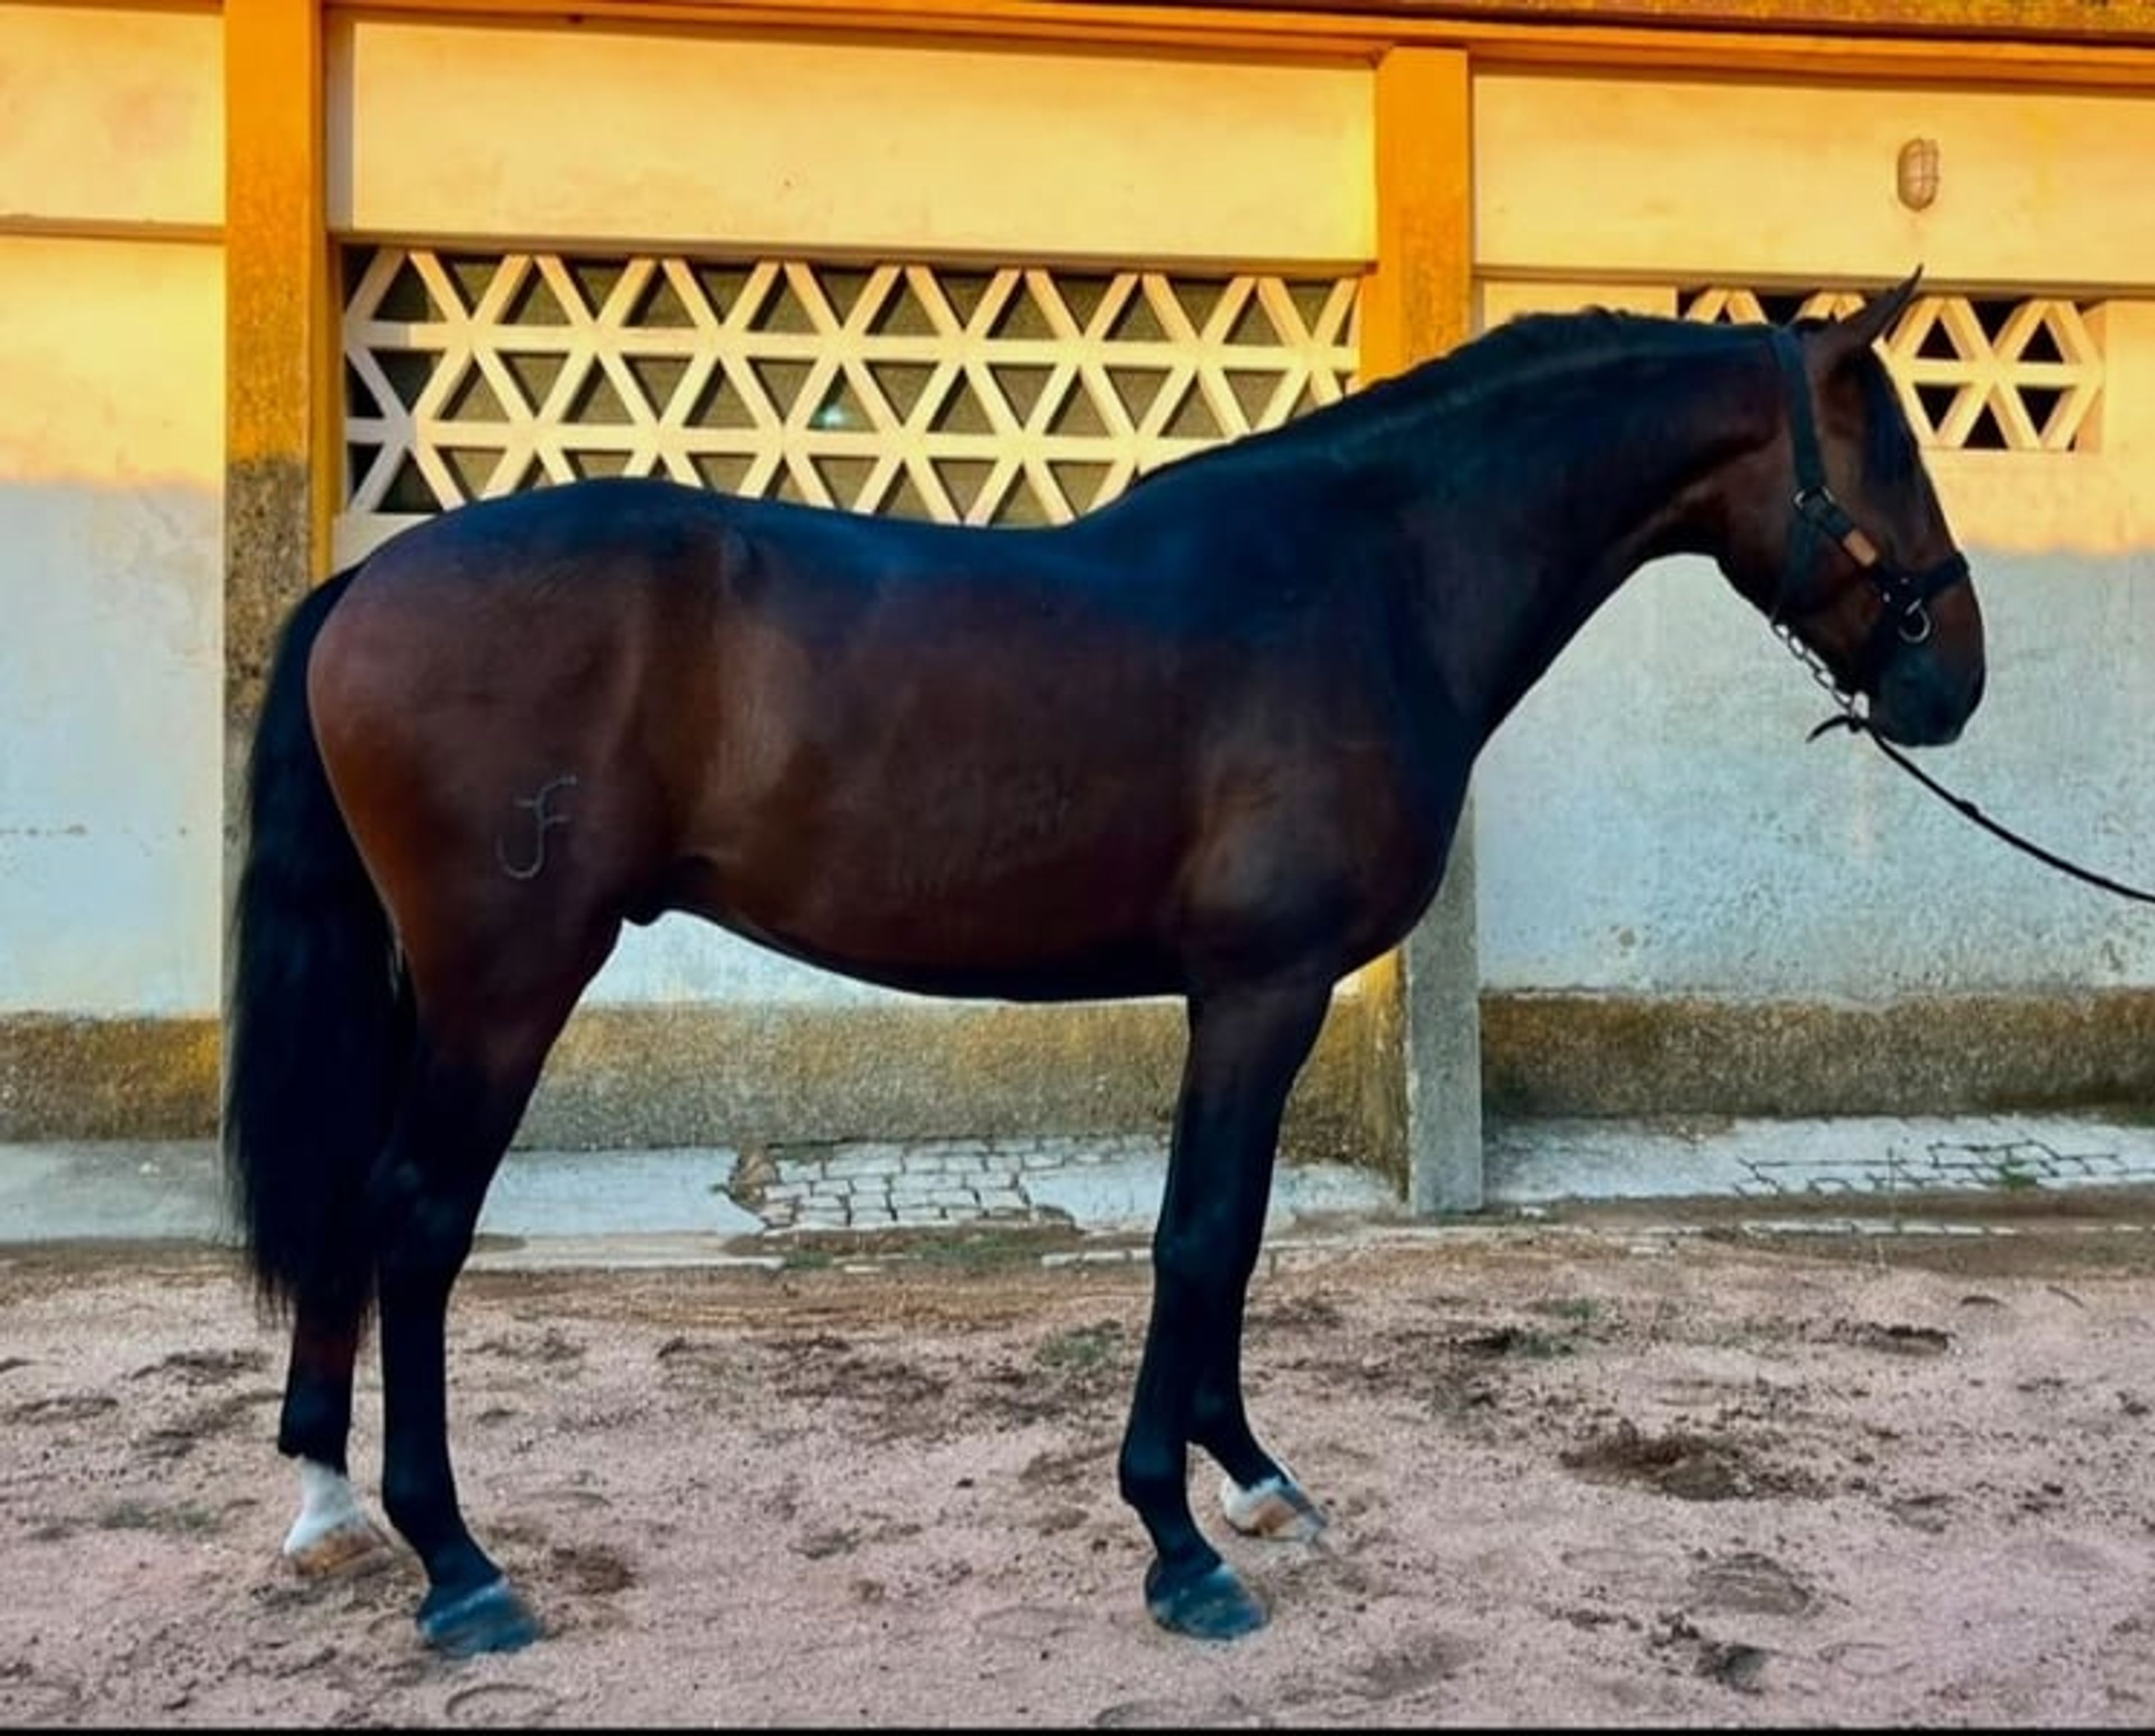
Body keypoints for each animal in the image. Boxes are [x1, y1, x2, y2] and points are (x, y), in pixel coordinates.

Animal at [223, 269, 1984, 1658]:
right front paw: (1181, 1541)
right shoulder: (1260, 988)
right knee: (415, 1218)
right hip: (508, 984)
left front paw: (1251, 1477)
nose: (1952, 680)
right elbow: (1198, 1237)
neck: (1368, 575)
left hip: (434, 986)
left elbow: (1235, 1237)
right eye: (1890, 448)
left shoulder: (1253, 999)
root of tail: (370, 577)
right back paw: (458, 1565)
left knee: (354, 1203)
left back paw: (326, 1501)